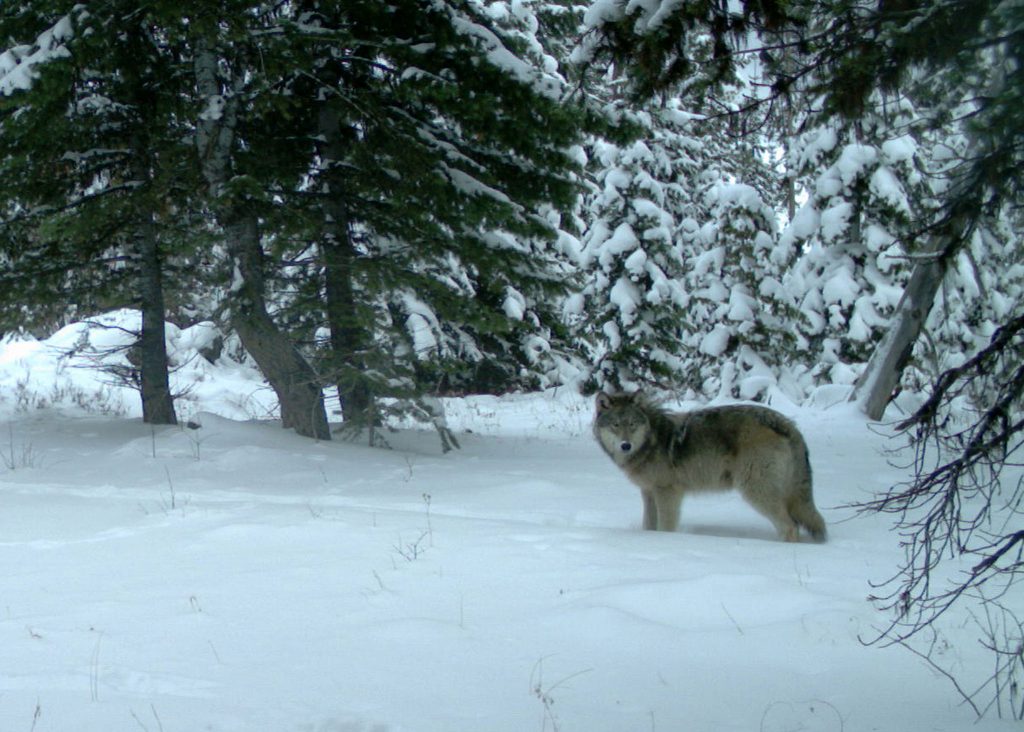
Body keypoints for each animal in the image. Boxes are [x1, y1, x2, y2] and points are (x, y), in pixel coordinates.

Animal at [593, 393, 823, 540]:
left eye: (632, 424)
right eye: (615, 425)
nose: (626, 445)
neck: (651, 441)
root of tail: (788, 425)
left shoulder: (668, 492)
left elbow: (665, 528)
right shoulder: (649, 492)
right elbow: (649, 526)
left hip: (755, 491)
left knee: (790, 527)